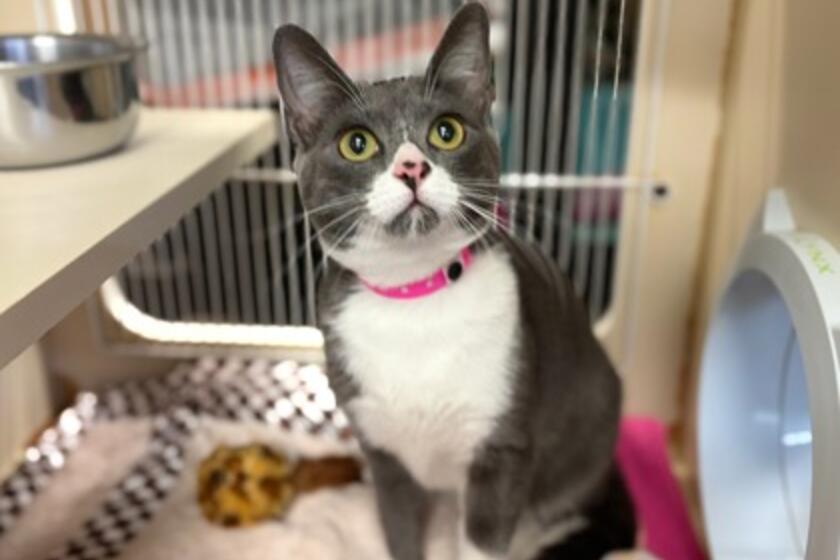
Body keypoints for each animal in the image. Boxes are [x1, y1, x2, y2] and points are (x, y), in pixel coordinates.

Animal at [272, 3, 635, 559]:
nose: (411, 167)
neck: (415, 297)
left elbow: (485, 536)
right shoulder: (383, 451)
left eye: (447, 131)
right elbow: (399, 527)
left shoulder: (502, 446)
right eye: (356, 144)